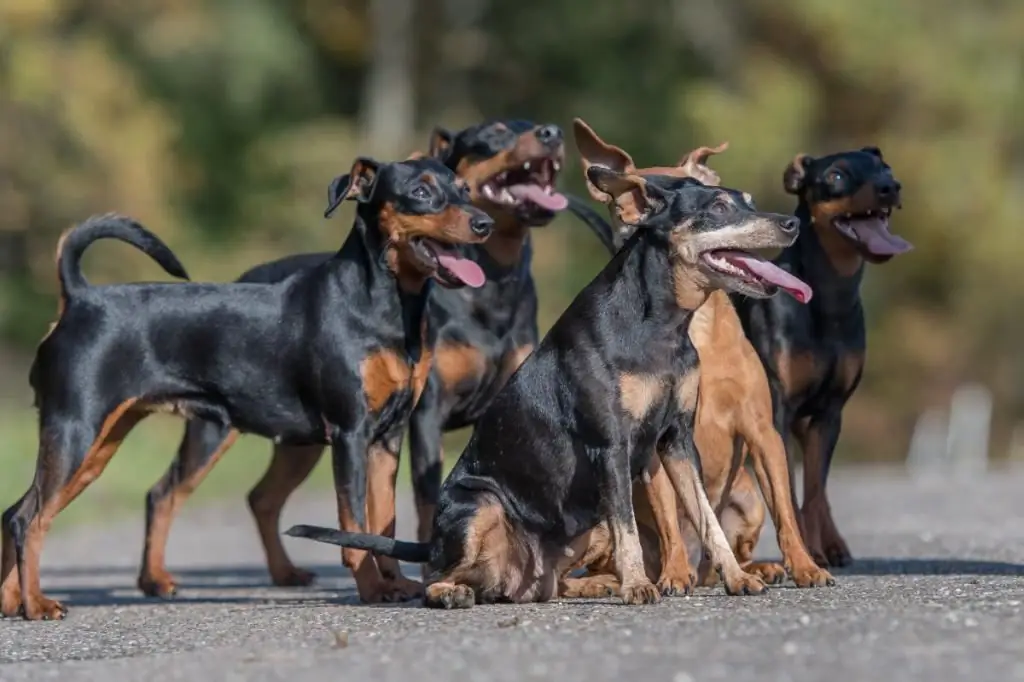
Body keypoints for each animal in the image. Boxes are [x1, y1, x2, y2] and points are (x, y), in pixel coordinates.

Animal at [0, 152, 495, 614]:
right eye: (421, 192)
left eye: (464, 189)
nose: (484, 223)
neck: (386, 305)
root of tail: (79, 297)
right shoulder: (351, 434)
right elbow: (354, 525)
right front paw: (372, 589)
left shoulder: (386, 440)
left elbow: (383, 522)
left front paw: (395, 584)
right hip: (77, 431)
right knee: (30, 517)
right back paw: (38, 604)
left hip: (104, 443)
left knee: (21, 512)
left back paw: (14, 602)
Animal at [288, 163, 806, 606]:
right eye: (717, 207)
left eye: (746, 200)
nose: (791, 224)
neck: (659, 325)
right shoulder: (611, 447)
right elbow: (632, 529)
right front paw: (639, 586)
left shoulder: (676, 441)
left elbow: (707, 518)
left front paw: (736, 578)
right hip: (480, 505)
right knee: (438, 575)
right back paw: (452, 592)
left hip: (584, 527)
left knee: (554, 581)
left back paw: (592, 585)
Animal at [569, 119, 831, 593]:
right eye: (625, 205)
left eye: (744, 202)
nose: (789, 223)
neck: (689, 325)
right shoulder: (655, 443)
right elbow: (670, 518)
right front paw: (674, 574)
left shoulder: (762, 429)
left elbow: (787, 512)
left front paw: (805, 567)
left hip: (747, 496)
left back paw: (755, 567)